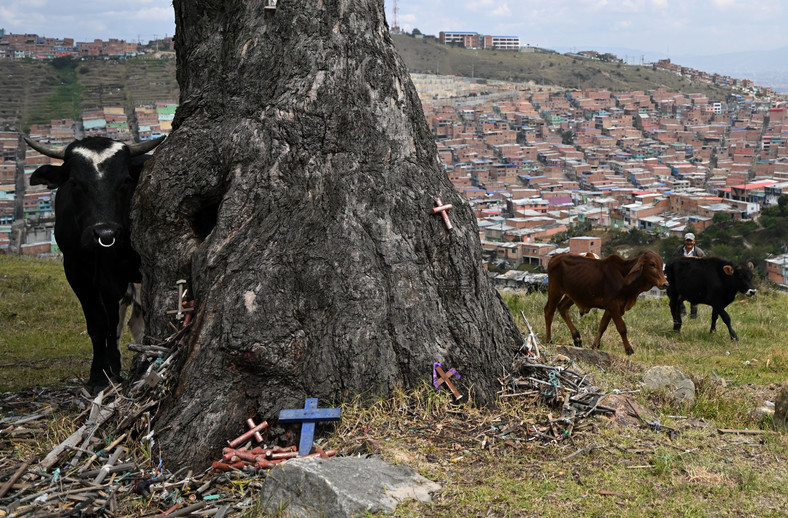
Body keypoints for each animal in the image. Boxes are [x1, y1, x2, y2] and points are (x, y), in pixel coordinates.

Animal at [25, 136, 163, 392]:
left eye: (125, 181)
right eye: (74, 182)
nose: (105, 233)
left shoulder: (122, 272)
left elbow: (115, 320)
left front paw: (111, 368)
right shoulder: (77, 270)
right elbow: (99, 322)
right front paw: (100, 374)